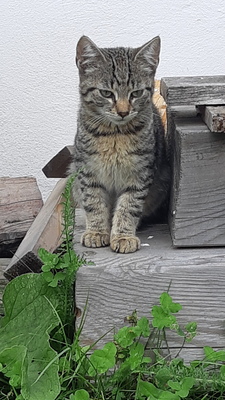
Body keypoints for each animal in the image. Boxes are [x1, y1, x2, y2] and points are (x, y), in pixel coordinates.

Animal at [70, 35, 171, 253]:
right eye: (107, 93)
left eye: (137, 93)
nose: (123, 111)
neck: (115, 135)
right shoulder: (88, 171)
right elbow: (94, 203)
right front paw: (97, 232)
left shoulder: (139, 174)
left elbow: (129, 205)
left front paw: (123, 236)